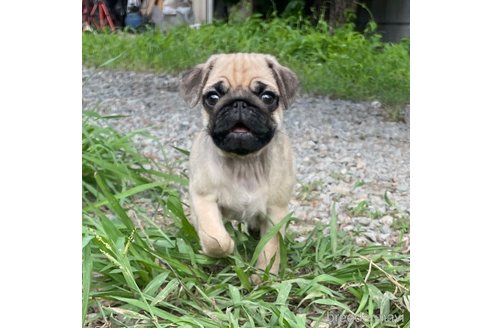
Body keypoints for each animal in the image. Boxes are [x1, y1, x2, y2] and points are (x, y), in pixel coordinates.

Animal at [179, 52, 298, 284]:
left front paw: (263, 276)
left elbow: (270, 247)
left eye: (267, 97)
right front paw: (227, 248)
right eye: (212, 97)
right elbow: (215, 239)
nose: (239, 104)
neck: (245, 163)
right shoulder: (203, 198)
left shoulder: (276, 211)